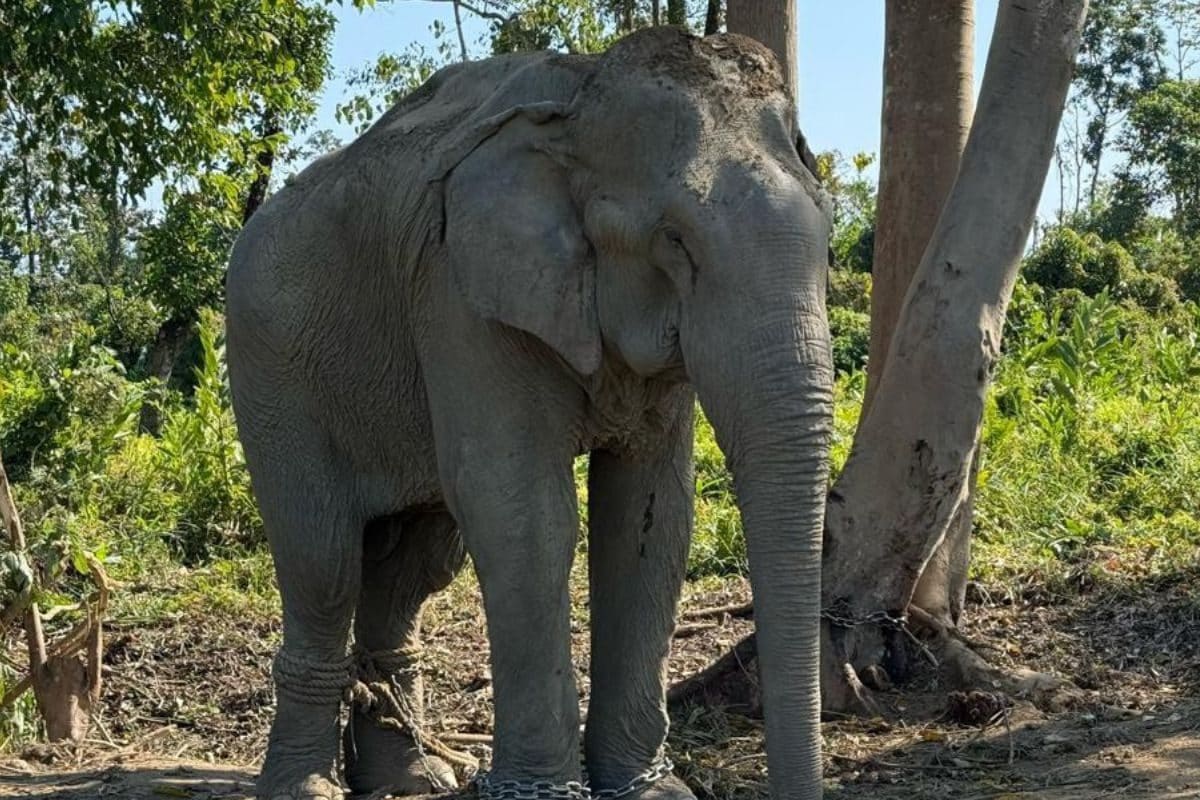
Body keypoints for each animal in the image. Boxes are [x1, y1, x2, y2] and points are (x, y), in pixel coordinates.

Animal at [226, 26, 833, 800]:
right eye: (675, 242)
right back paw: (309, 786)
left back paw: (414, 777)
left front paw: (650, 790)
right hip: (271, 369)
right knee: (323, 558)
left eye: (829, 236)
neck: (581, 94)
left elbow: (652, 514)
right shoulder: (460, 290)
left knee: (415, 563)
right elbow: (522, 511)